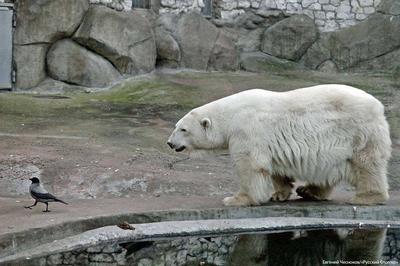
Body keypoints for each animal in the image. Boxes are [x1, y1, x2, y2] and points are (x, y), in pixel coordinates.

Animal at [166, 84, 390, 206]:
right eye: (176, 126)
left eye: (183, 129)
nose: (169, 143)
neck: (231, 115)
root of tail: (379, 106)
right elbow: (275, 169)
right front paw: (278, 195)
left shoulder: (247, 129)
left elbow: (250, 166)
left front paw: (235, 199)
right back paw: (308, 191)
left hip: (359, 132)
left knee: (366, 164)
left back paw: (367, 197)